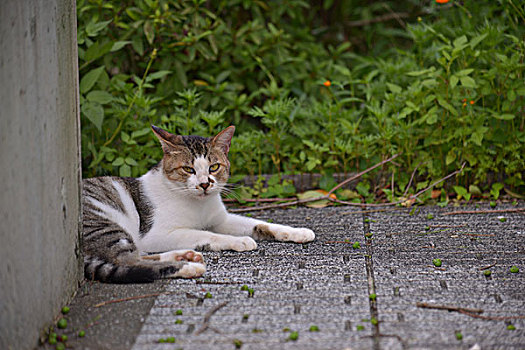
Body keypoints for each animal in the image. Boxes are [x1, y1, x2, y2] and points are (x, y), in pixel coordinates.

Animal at [83, 124, 316, 284]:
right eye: (188, 169)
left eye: (214, 167)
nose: (205, 184)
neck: (199, 205)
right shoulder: (155, 234)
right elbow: (205, 234)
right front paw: (240, 240)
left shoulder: (221, 219)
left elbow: (260, 224)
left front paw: (297, 232)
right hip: (105, 225)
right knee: (129, 261)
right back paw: (187, 267)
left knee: (138, 256)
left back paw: (185, 256)